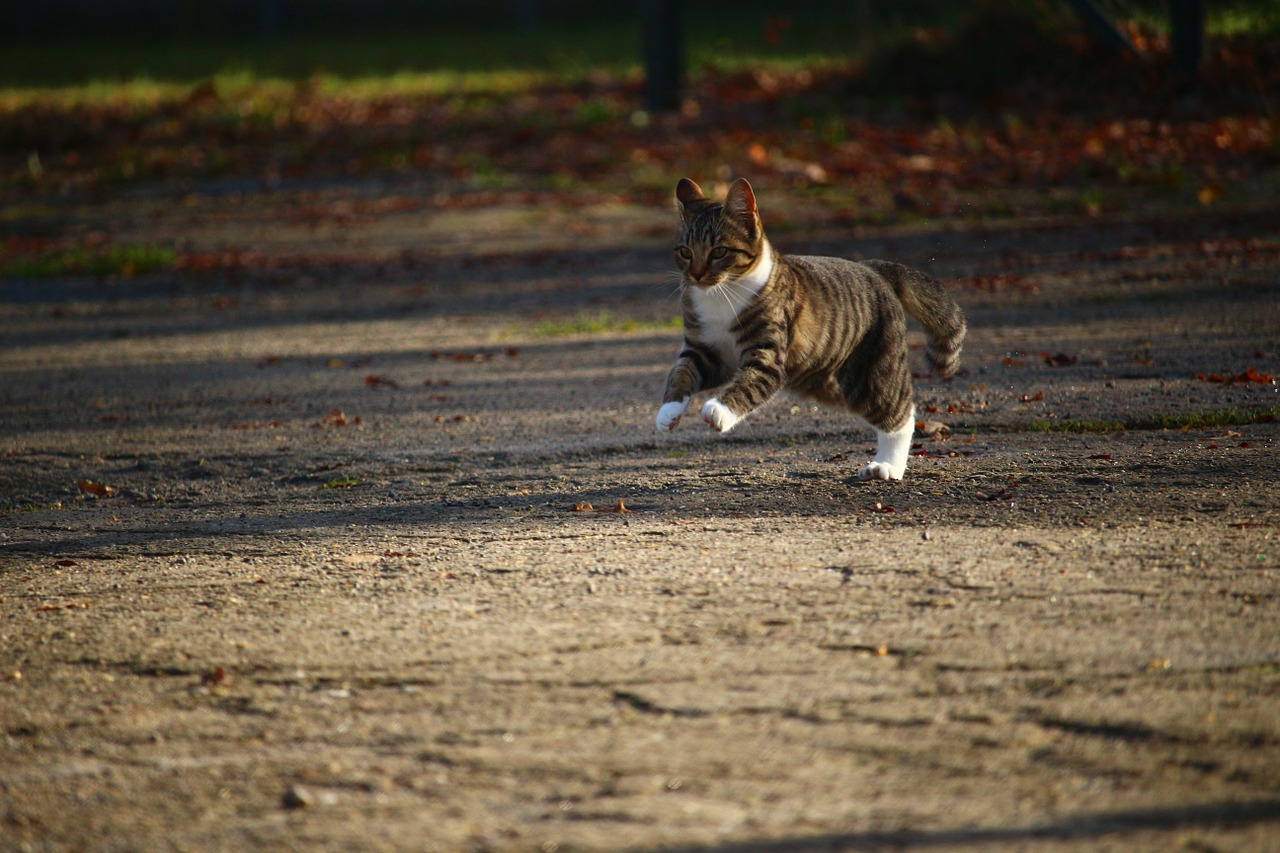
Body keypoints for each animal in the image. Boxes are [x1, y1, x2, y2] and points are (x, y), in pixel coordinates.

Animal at [655, 174, 962, 479]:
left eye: (719, 251)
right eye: (685, 252)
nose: (695, 275)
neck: (720, 296)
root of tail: (874, 269)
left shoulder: (768, 355)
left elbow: (750, 382)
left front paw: (718, 411)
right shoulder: (706, 352)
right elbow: (682, 373)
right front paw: (668, 411)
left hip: (871, 373)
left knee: (901, 412)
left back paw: (887, 466)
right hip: (827, 380)